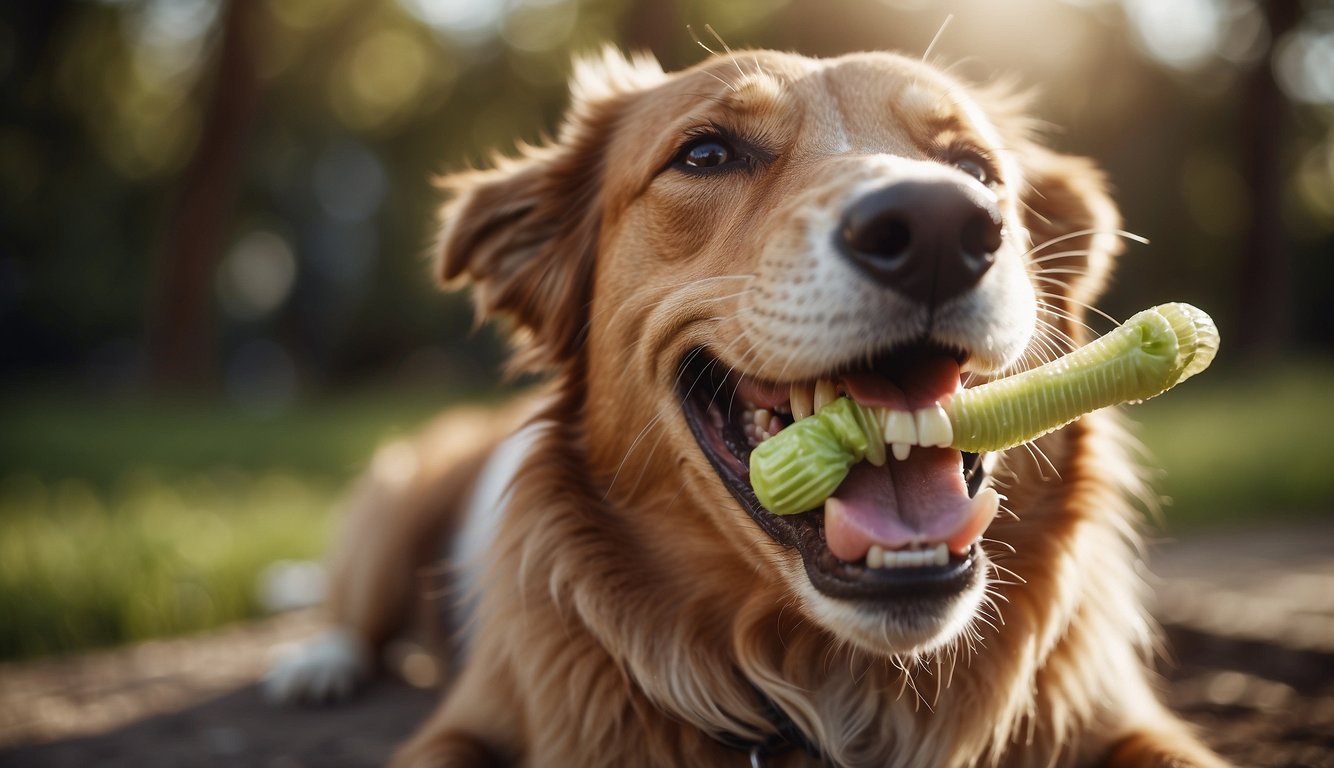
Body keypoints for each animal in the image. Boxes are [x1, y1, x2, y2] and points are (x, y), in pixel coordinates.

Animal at [265, 48, 1232, 768]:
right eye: (706, 154)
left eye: (974, 168)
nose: (938, 229)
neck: (827, 685)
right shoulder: (471, 720)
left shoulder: (1124, 718)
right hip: (396, 503)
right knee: (350, 611)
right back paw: (316, 665)